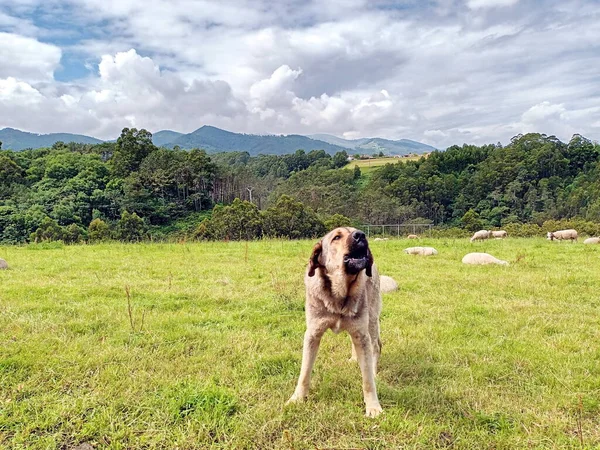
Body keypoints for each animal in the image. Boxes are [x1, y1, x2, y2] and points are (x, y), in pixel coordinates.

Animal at [288, 229, 382, 418]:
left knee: (375, 347)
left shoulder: (362, 334)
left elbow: (367, 380)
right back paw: (354, 358)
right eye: (336, 237)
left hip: (371, 321)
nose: (361, 235)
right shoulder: (313, 334)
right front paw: (297, 398)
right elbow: (304, 372)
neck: (339, 294)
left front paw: (373, 406)